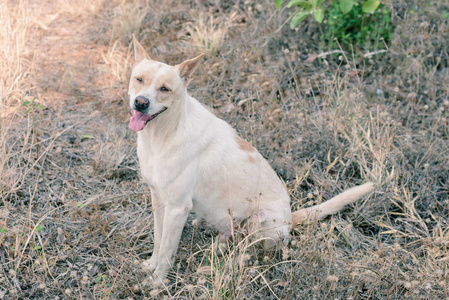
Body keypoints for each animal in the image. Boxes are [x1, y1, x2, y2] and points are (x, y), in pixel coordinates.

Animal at [127, 35, 374, 282]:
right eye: (139, 79)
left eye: (164, 89)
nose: (141, 102)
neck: (163, 134)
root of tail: (289, 219)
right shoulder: (159, 200)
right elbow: (158, 240)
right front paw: (150, 266)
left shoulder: (177, 208)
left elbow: (167, 251)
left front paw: (157, 282)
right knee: (232, 241)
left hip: (259, 221)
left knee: (251, 252)